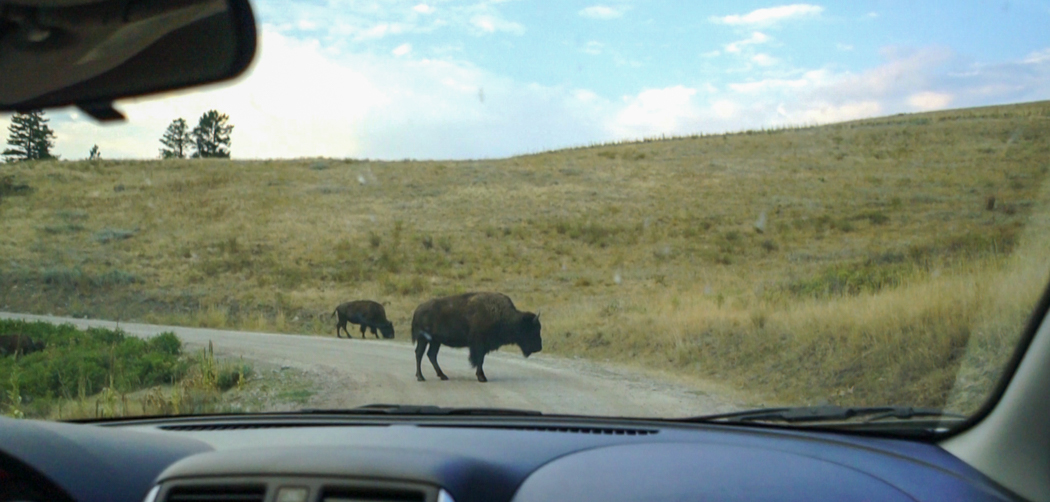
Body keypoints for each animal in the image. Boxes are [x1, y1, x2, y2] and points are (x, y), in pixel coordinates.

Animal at [409, 291, 541, 382]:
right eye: (533, 330)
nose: (539, 347)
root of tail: (417, 310)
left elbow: (480, 360)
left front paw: (481, 376)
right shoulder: (479, 345)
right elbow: (479, 360)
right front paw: (482, 377)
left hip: (435, 341)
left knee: (431, 355)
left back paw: (442, 376)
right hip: (424, 339)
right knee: (419, 354)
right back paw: (421, 377)